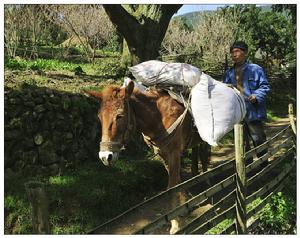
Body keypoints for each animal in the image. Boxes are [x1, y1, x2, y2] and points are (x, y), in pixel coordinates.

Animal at [85, 81, 210, 233]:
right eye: (99, 117)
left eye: (120, 116)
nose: (105, 157)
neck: (158, 117)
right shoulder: (164, 155)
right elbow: (178, 183)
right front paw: (184, 208)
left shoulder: (173, 153)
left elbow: (172, 188)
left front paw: (176, 224)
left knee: (204, 155)